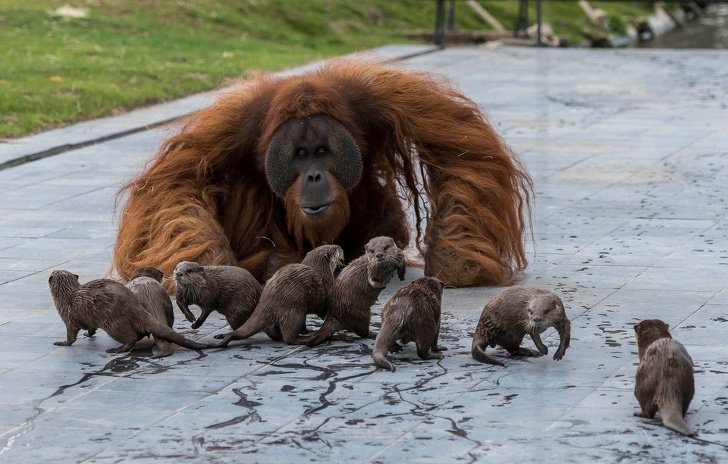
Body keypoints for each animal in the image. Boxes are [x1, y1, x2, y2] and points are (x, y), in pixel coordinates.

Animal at [48, 270, 208, 354]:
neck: (66, 296)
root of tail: (136, 307)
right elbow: (91, 328)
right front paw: (88, 334)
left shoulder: (68, 317)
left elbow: (71, 335)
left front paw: (62, 343)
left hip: (112, 323)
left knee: (130, 338)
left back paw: (116, 349)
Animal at [210, 245, 344, 346]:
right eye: (335, 249)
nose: (340, 246)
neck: (319, 270)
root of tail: (267, 303)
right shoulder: (326, 291)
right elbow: (323, 309)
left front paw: (306, 330)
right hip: (294, 312)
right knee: (288, 338)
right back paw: (305, 339)